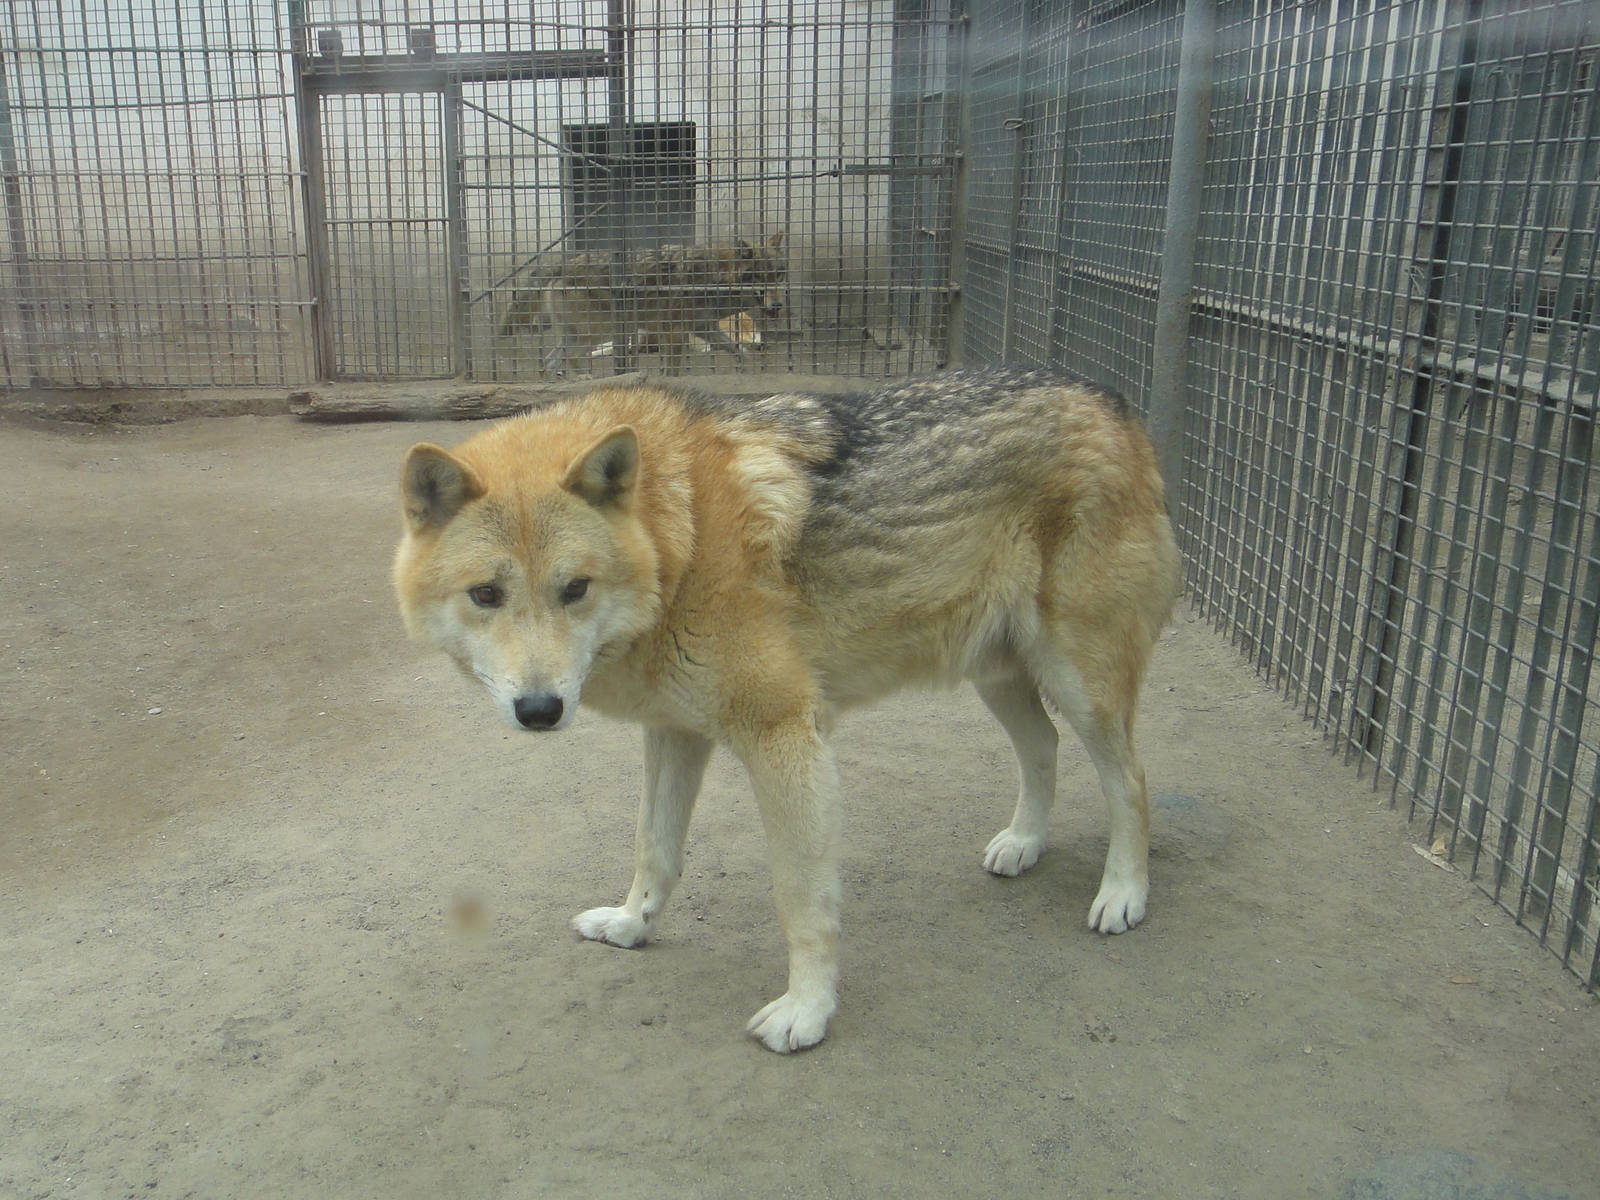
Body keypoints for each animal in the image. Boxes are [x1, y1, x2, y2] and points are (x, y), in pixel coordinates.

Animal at [392, 368, 1181, 1052]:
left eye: (575, 588)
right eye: (486, 595)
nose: (539, 709)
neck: (679, 536)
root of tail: (1110, 400)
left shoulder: (785, 737)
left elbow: (800, 901)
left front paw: (807, 1013)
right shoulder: (674, 732)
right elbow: (654, 850)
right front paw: (631, 925)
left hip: (1081, 687)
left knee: (1133, 784)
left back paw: (1123, 895)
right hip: (1000, 677)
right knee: (1043, 748)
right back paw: (1024, 843)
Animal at [496, 232, 786, 377]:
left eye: (779, 275)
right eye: (760, 277)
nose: (778, 306)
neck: (715, 277)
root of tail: (563, 264)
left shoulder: (703, 328)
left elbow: (738, 349)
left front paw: (747, 370)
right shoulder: (674, 333)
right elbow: (672, 372)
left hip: (582, 334)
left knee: (550, 361)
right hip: (598, 332)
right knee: (571, 358)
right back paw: (581, 378)